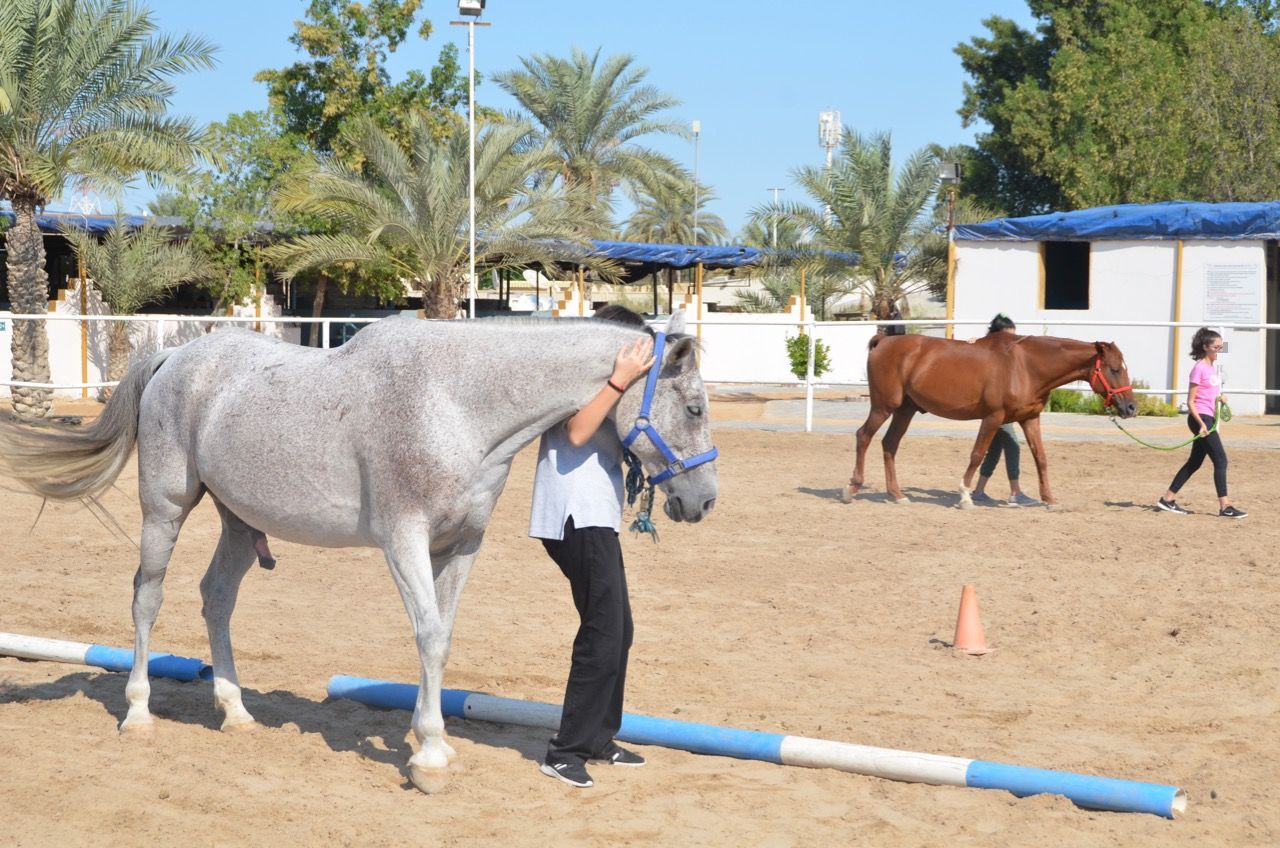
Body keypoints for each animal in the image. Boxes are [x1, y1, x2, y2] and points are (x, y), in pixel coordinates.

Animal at [0, 312, 716, 799]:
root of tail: (175, 356)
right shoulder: (404, 540)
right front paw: (429, 758)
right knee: (148, 596)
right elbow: (428, 635)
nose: (703, 501)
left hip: (240, 522)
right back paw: (139, 714)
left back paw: (236, 712)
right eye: (693, 406)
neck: (456, 402)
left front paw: (431, 740)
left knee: (217, 599)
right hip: (166, 509)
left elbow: (443, 636)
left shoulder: (462, 545)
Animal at [839, 330, 1141, 504]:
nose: (1130, 408)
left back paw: (897, 495)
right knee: (863, 436)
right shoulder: (993, 418)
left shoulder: (1030, 419)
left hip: (905, 410)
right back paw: (851, 489)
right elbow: (977, 454)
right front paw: (964, 496)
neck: (1026, 366)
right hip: (883, 406)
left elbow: (1040, 458)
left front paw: (1049, 498)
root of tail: (884, 341)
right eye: (1115, 369)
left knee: (889, 444)